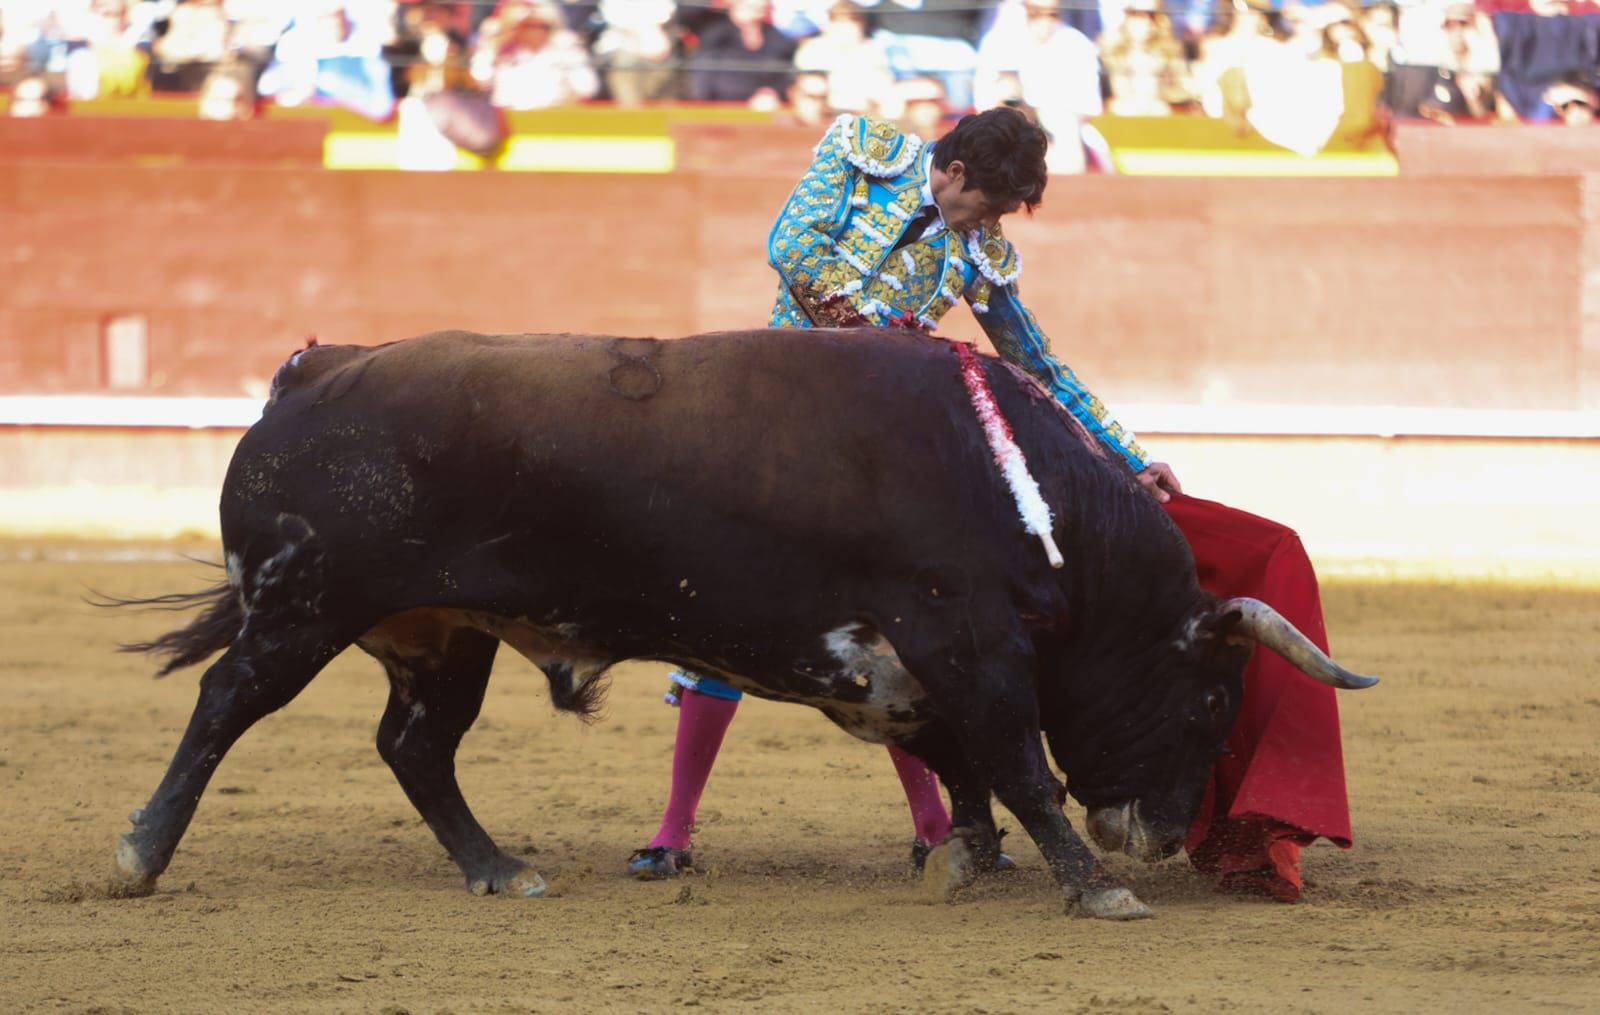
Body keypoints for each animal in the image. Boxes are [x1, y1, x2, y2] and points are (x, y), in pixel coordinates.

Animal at [116, 328, 1376, 915]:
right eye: (1210, 698)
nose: (1157, 835)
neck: (1016, 487)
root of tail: (310, 371)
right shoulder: (961, 632)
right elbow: (1015, 757)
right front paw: (1090, 885)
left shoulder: (902, 660)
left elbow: (961, 759)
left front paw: (963, 859)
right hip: (308, 602)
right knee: (227, 700)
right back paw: (139, 852)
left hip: (443, 631)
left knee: (415, 745)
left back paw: (500, 868)